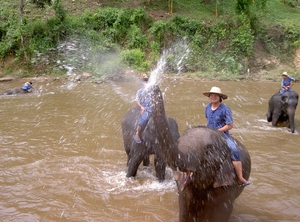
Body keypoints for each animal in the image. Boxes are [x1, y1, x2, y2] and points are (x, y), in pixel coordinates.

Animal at [150, 85, 251, 222]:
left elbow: (219, 215)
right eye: (179, 143)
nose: (153, 86)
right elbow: (185, 212)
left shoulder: (228, 183)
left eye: (208, 151)